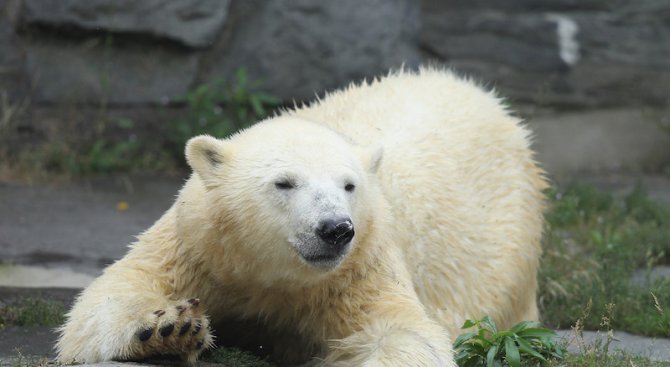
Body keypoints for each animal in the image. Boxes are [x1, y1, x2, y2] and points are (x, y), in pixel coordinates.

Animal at [56, 67, 552, 366]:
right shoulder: (197, 246)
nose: (336, 229)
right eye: (285, 183)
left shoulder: (359, 268)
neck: (272, 279)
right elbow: (112, 296)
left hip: (510, 236)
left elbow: (400, 333)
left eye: (349, 186)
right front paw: (169, 327)